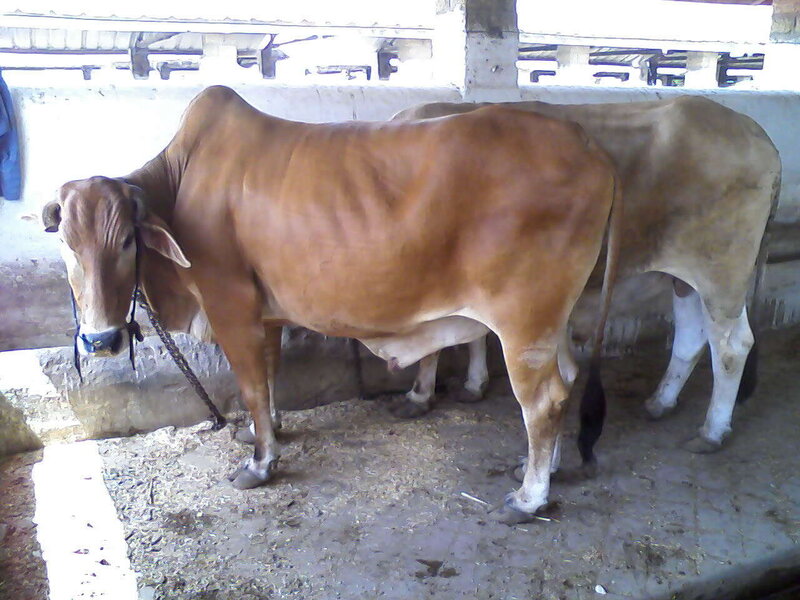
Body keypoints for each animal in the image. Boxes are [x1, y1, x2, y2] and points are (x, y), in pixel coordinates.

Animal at [42, 85, 622, 523]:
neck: (179, 182)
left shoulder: (232, 308)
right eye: (66, 243)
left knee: (543, 400)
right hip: (553, 319)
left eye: (126, 242)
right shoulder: (266, 313)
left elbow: (251, 387)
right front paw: (270, 432)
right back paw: (550, 468)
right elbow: (270, 377)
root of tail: (591, 147)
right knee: (568, 379)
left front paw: (260, 463)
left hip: (524, 321)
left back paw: (528, 498)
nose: (99, 339)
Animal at [390, 96, 781, 454]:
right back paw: (661, 402)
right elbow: (473, 333)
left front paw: (419, 395)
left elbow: (435, 347)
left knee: (732, 345)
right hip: (686, 277)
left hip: (723, 271)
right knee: (691, 336)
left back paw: (712, 431)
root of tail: (752, 129)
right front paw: (473, 384)